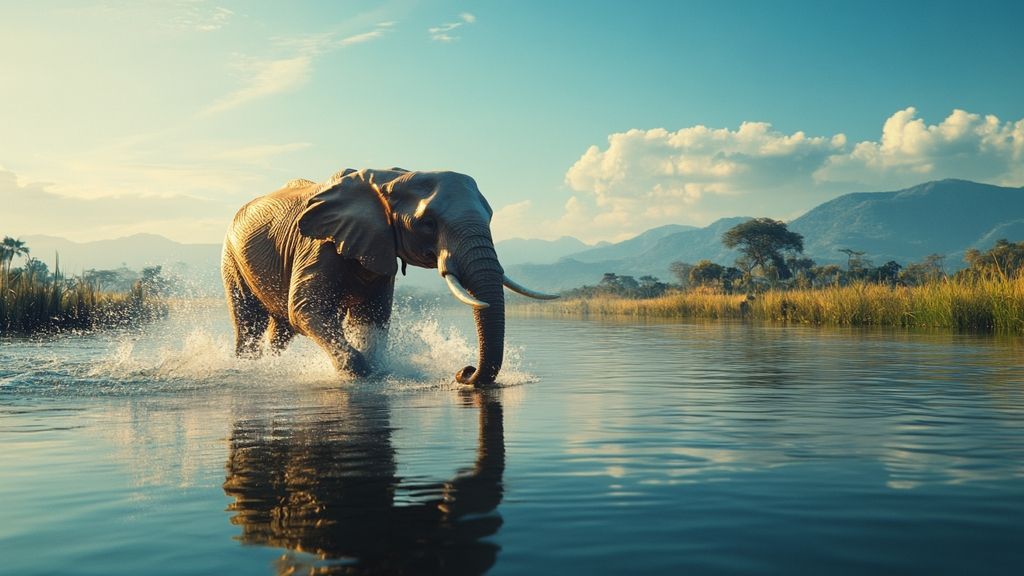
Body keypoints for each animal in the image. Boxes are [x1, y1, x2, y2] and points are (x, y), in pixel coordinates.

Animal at [221, 167, 555, 386]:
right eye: (428, 224)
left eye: (491, 217)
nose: (464, 372)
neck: (388, 179)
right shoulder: (317, 244)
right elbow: (306, 307)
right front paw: (361, 375)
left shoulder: (380, 248)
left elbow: (370, 315)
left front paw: (377, 370)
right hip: (231, 256)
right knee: (250, 321)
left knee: (281, 328)